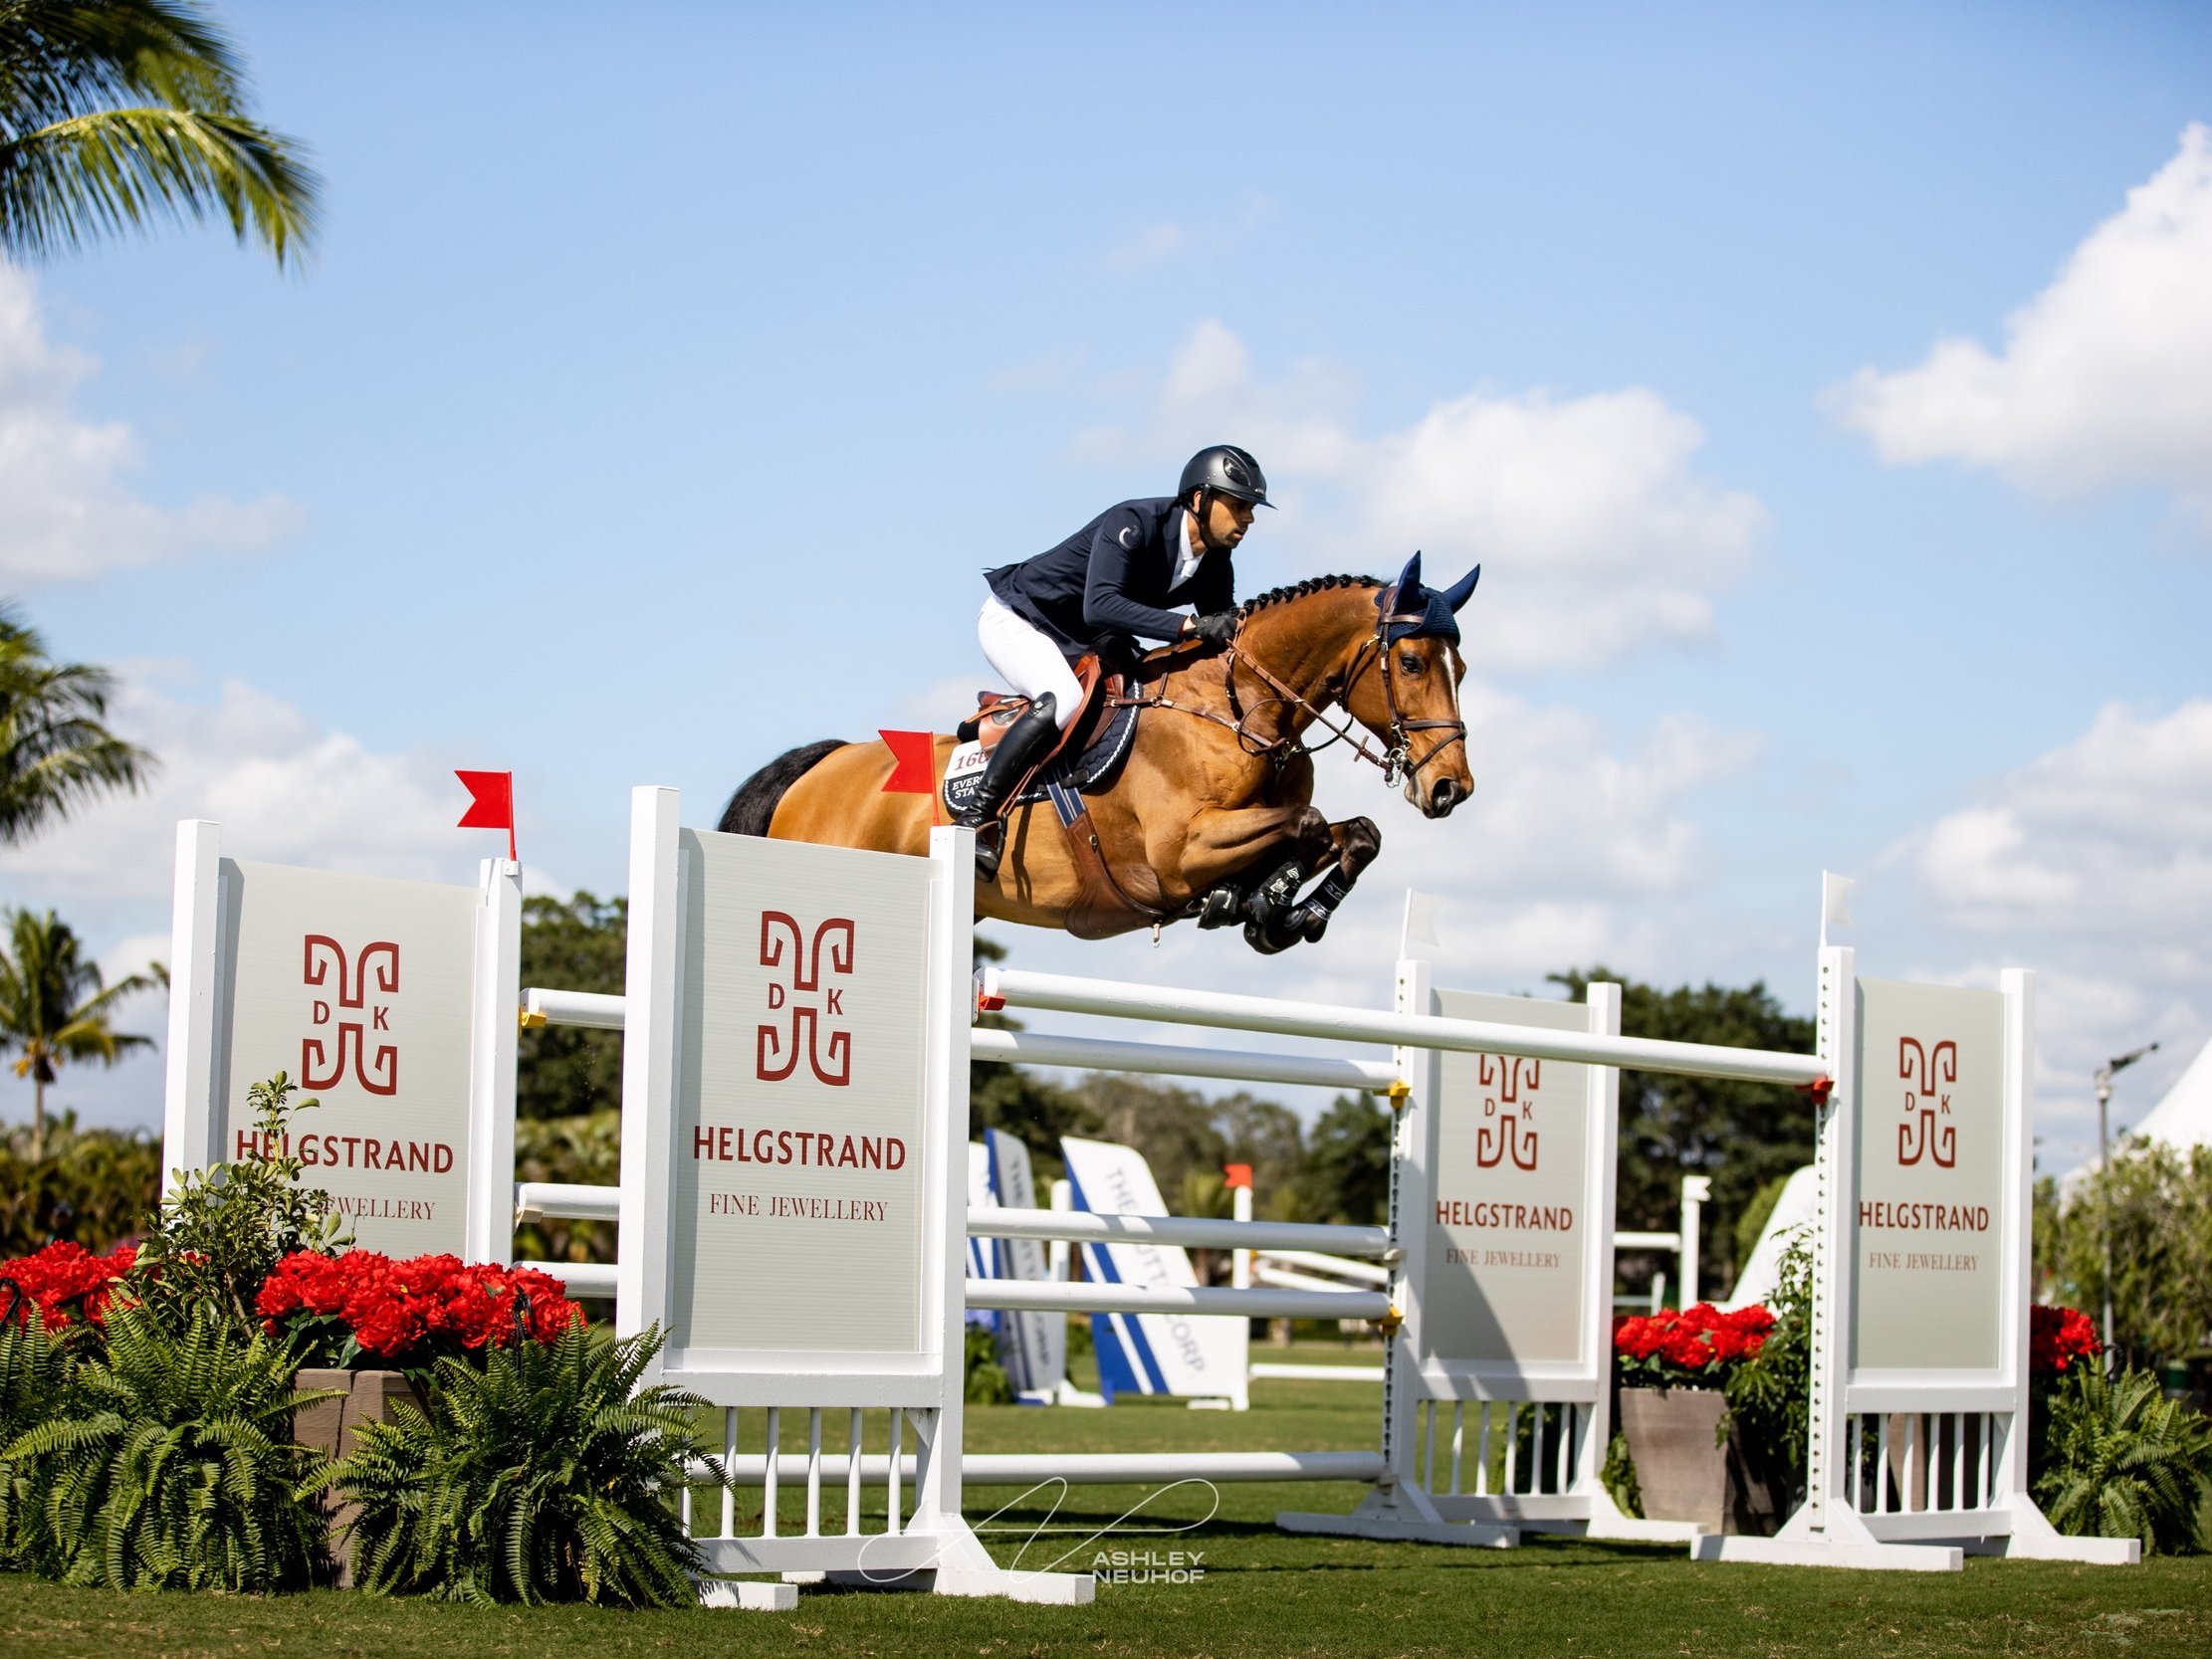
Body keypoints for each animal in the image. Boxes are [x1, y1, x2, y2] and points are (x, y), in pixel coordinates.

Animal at [725, 554, 1477, 955]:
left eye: (1462, 668)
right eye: (1411, 662)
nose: (1452, 787)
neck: (1241, 712)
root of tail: (819, 767)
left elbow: (1356, 833)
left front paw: (1282, 911)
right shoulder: (1179, 855)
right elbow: (1310, 825)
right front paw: (1271, 902)